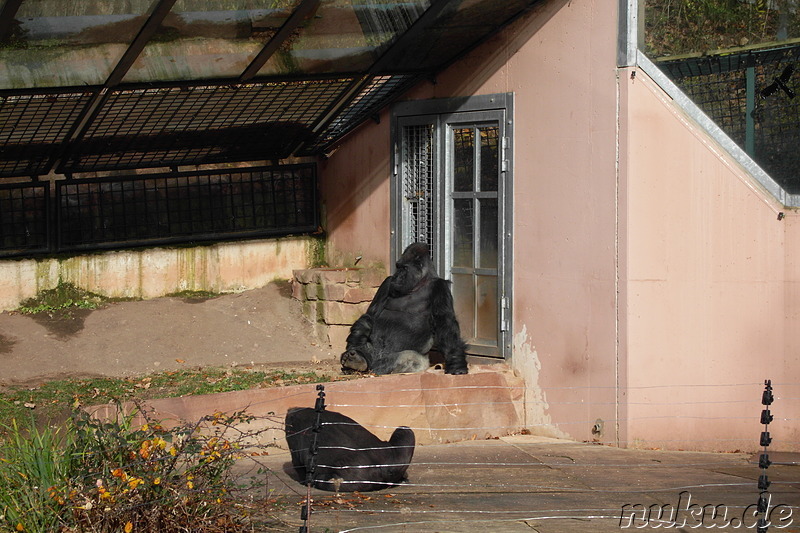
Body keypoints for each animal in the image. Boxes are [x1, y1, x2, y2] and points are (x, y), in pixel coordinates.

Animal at [340, 241, 468, 374]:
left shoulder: (440, 287)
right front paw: (355, 340)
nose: (396, 275)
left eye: (404, 268)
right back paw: (358, 359)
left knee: (409, 359)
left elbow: (446, 325)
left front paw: (456, 363)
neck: (418, 284)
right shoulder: (387, 282)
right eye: (398, 267)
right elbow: (370, 315)